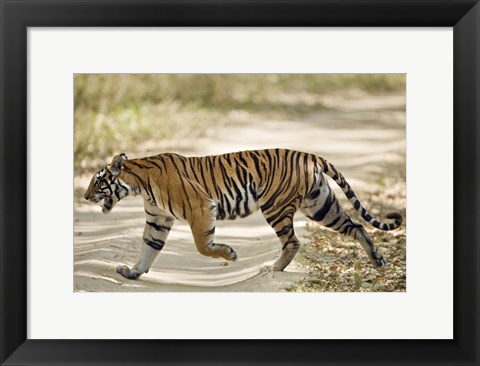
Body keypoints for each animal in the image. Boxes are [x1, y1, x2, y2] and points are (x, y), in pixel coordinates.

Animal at [84, 149, 404, 280]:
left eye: (98, 181)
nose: (85, 197)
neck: (138, 184)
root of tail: (308, 155)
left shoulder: (201, 207)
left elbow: (202, 246)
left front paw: (230, 254)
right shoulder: (157, 220)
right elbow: (149, 248)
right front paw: (133, 272)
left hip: (275, 206)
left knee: (293, 241)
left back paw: (273, 269)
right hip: (320, 205)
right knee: (356, 226)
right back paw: (378, 260)